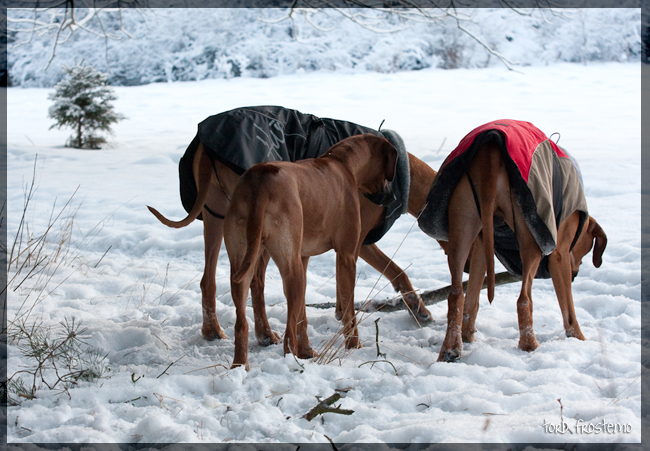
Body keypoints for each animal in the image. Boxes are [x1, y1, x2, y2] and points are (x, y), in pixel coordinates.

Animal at [221, 135, 394, 370]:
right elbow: (349, 309)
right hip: (290, 267)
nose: (392, 197)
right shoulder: (347, 255)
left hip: (243, 260)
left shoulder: (303, 257)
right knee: (288, 335)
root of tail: (260, 184)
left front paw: (306, 351)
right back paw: (291, 363)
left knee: (242, 319)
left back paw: (240, 365)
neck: (342, 163)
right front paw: (354, 346)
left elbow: (302, 314)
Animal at [418, 121, 604, 364]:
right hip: (530, 228)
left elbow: (473, 297)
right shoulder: (560, 254)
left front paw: (468, 334)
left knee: (457, 294)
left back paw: (452, 348)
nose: (575, 274)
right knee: (524, 298)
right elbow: (569, 309)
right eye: (586, 250)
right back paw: (529, 345)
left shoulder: (481, 244)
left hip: (463, 219)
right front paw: (579, 338)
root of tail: (491, 145)